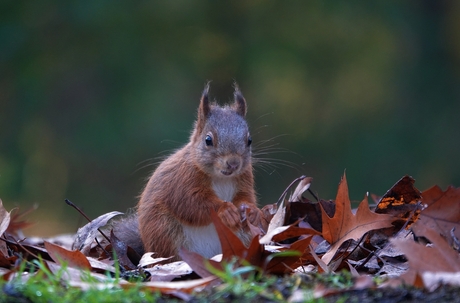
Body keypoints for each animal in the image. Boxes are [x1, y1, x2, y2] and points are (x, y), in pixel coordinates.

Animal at [137, 84, 266, 260]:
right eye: (208, 140)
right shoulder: (183, 180)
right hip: (163, 229)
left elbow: (245, 197)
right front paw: (225, 210)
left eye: (249, 140)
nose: (233, 163)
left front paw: (252, 210)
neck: (221, 178)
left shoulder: (245, 178)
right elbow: (191, 203)